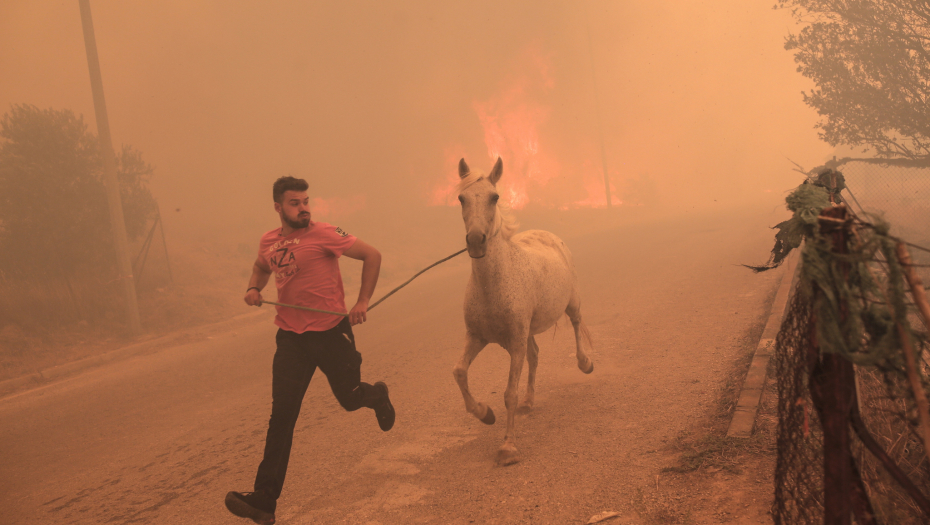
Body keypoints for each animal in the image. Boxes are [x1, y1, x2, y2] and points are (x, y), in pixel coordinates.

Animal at [452, 157, 596, 466]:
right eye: (461, 198)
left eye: (494, 197)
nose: (476, 241)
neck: (493, 284)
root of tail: (550, 235)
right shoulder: (477, 337)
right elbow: (459, 372)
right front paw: (484, 413)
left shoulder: (515, 342)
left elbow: (509, 393)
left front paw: (508, 448)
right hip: (527, 332)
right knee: (535, 355)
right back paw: (529, 402)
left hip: (571, 303)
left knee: (576, 325)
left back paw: (585, 363)